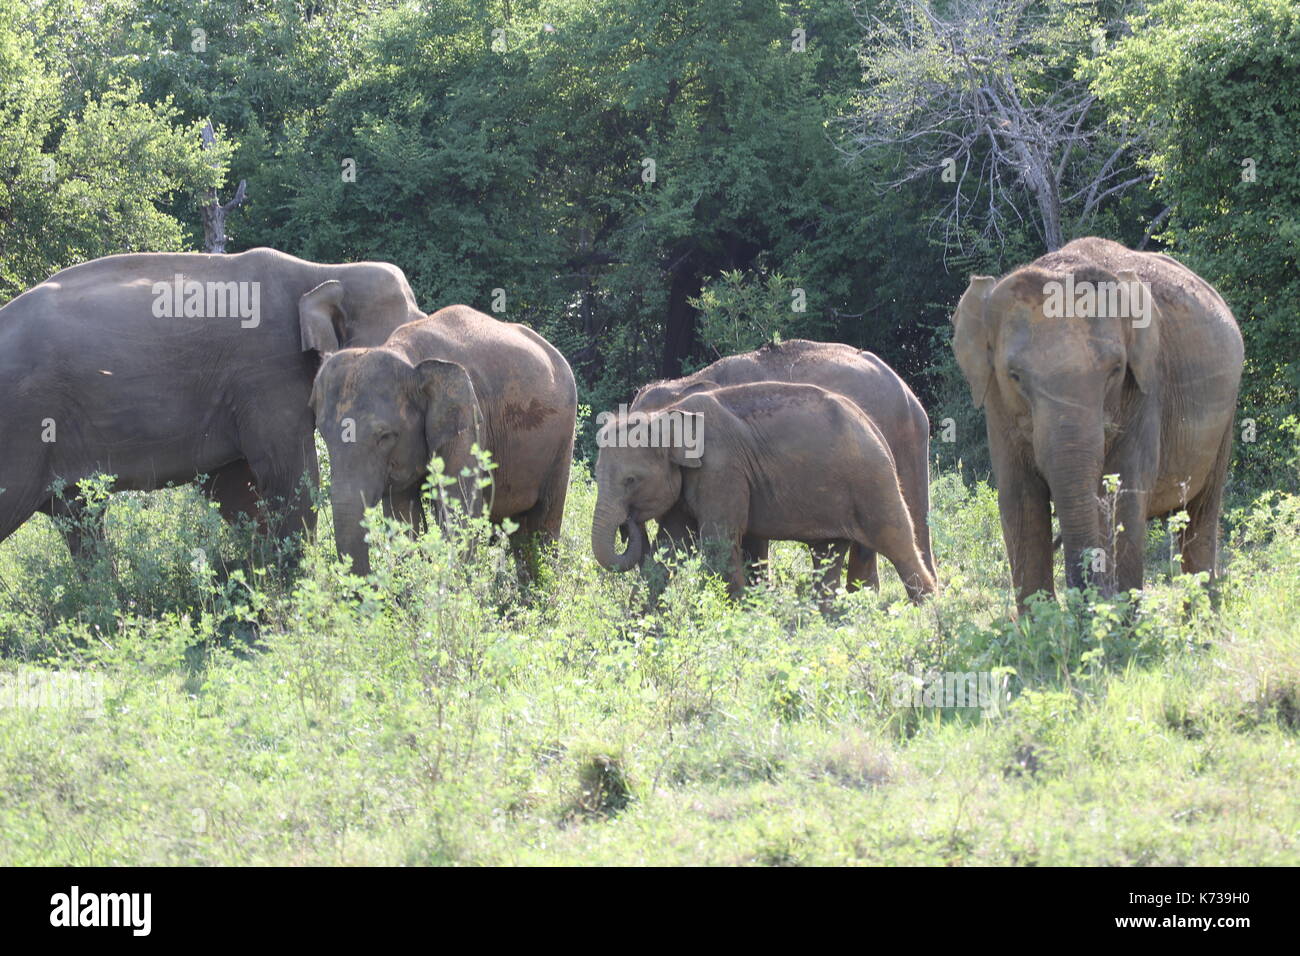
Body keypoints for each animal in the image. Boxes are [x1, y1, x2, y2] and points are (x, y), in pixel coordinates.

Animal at [0, 244, 421, 554]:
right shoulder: (266, 372)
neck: (325, 272)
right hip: (22, 424)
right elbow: (288, 476)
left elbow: (237, 489)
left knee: (80, 515)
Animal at [306, 306, 577, 574]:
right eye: (323, 435)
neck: (409, 359)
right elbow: (401, 514)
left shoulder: (469, 421)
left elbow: (459, 515)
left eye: (385, 436)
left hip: (563, 438)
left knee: (545, 524)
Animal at [951, 239, 1242, 613]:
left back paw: (1200, 620)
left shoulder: (1145, 388)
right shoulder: (996, 402)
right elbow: (1020, 500)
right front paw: (1042, 622)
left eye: (1115, 370)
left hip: (1225, 417)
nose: (1087, 604)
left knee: (1202, 511)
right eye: (1014, 376)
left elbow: (1122, 494)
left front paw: (1120, 624)